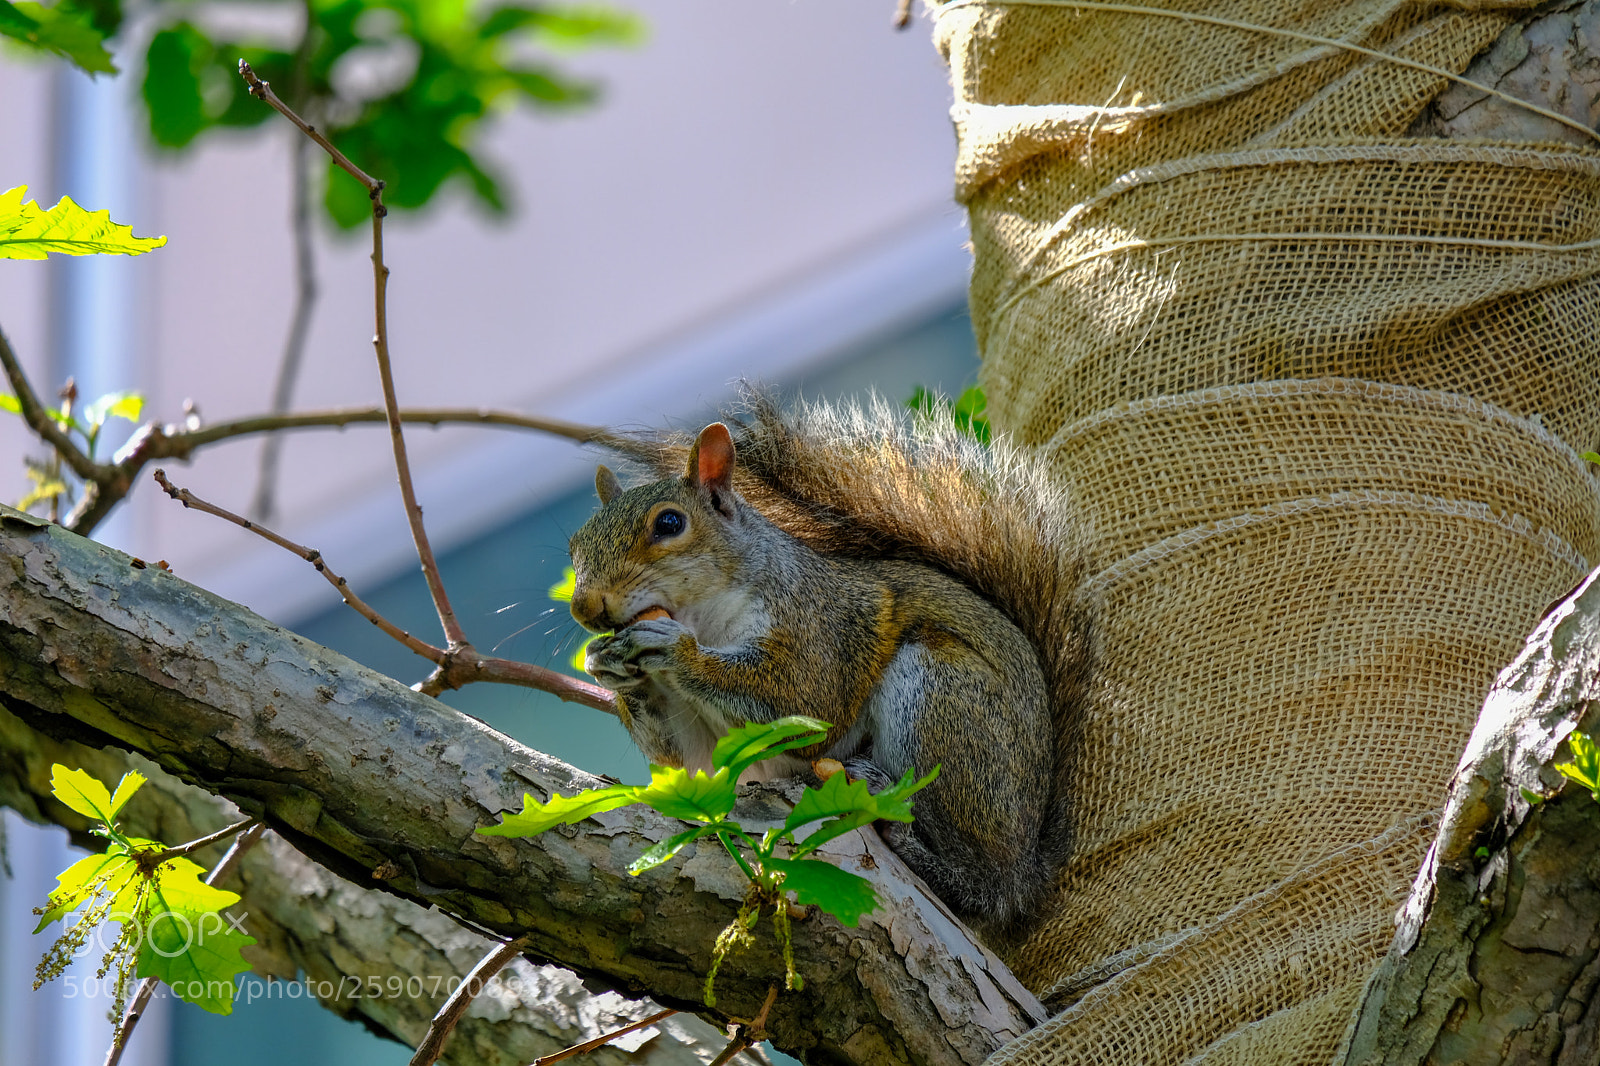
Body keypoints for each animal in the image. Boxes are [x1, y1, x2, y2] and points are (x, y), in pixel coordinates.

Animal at [566, 392, 1088, 932]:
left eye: (669, 523)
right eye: (575, 544)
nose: (584, 608)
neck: (705, 620)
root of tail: (1027, 858)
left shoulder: (817, 629)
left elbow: (807, 702)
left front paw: (673, 648)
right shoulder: (699, 741)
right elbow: (689, 760)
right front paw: (609, 667)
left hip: (944, 705)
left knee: (984, 887)